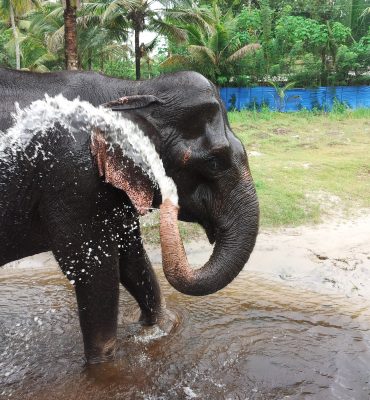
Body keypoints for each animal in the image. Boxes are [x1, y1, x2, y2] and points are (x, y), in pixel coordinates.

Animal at [0, 69, 258, 362]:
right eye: (214, 162)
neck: (132, 90)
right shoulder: (71, 181)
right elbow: (94, 271)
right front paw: (103, 365)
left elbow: (131, 258)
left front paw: (160, 328)